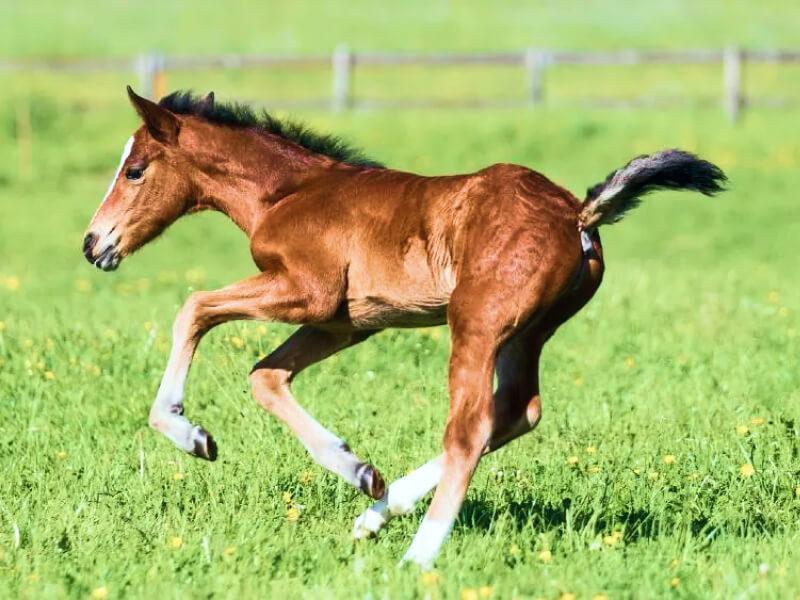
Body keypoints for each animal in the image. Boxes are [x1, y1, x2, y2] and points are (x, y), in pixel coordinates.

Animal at [83, 86, 724, 568]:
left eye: (134, 170)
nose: (94, 244)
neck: (286, 193)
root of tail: (578, 214)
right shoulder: (344, 323)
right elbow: (266, 376)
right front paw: (360, 471)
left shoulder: (306, 292)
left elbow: (193, 308)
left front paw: (188, 433)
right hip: (526, 333)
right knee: (517, 409)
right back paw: (376, 514)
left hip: (478, 323)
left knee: (470, 428)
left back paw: (417, 556)